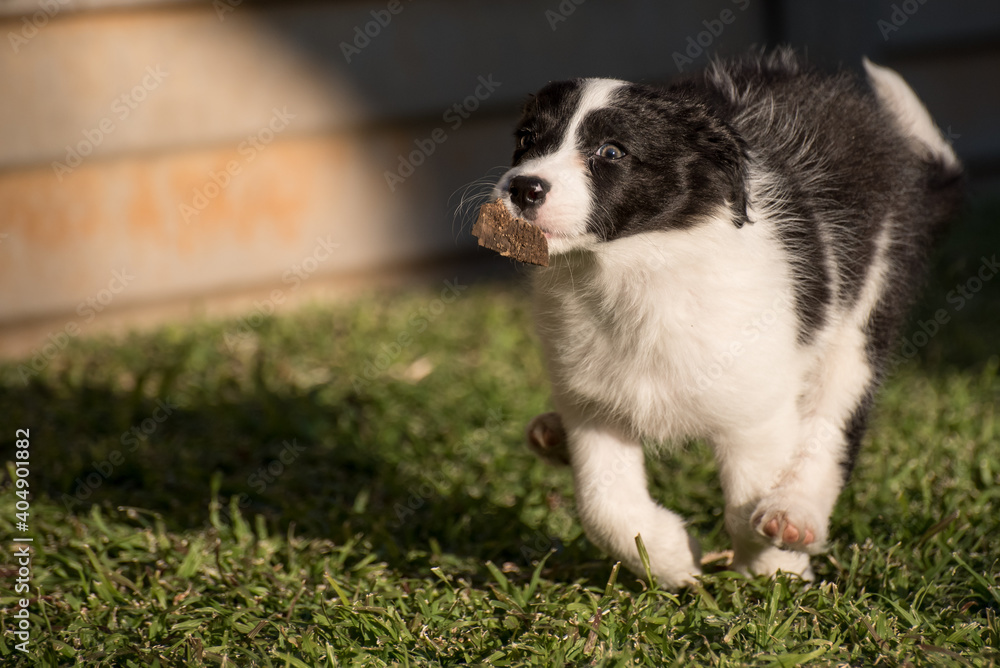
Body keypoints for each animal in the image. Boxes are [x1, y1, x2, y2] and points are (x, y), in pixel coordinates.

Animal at [490, 49, 960, 588]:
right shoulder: (593, 405)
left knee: (832, 421)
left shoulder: (755, 412)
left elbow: (744, 502)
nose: (522, 188)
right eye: (527, 139)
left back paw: (795, 511)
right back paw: (553, 437)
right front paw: (673, 559)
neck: (635, 270)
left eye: (611, 152)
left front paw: (775, 575)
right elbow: (604, 508)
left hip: (864, 316)